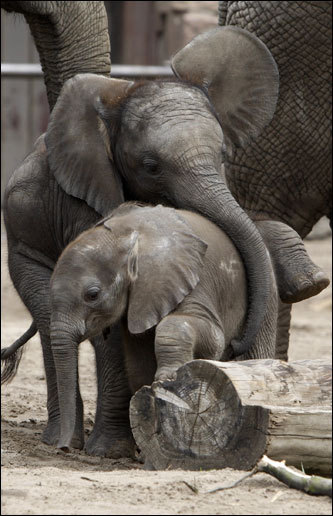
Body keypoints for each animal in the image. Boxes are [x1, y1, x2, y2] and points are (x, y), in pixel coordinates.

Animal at [50, 202, 278, 452]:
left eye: (92, 295)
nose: (64, 448)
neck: (128, 236)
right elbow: (138, 363)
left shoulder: (191, 278)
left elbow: (207, 336)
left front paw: (167, 379)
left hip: (266, 302)